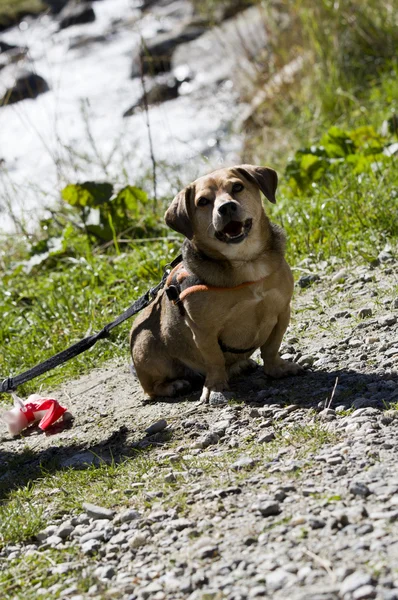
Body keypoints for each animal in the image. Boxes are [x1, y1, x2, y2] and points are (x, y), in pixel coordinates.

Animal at [131, 162, 302, 400]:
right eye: (203, 202)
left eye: (237, 187)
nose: (226, 207)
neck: (245, 262)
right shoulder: (204, 332)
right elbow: (214, 360)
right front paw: (215, 387)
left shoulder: (282, 312)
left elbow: (271, 348)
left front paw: (276, 368)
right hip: (147, 348)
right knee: (152, 389)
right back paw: (174, 385)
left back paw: (240, 365)